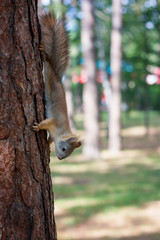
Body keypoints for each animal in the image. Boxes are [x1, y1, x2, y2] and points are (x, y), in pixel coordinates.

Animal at [33, 12, 81, 159]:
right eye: (64, 149)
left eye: (69, 153)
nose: (60, 158)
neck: (61, 132)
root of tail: (57, 77)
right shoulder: (53, 122)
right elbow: (45, 123)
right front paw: (37, 127)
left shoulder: (53, 135)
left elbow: (49, 139)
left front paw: (48, 146)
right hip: (48, 73)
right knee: (47, 60)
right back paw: (43, 53)